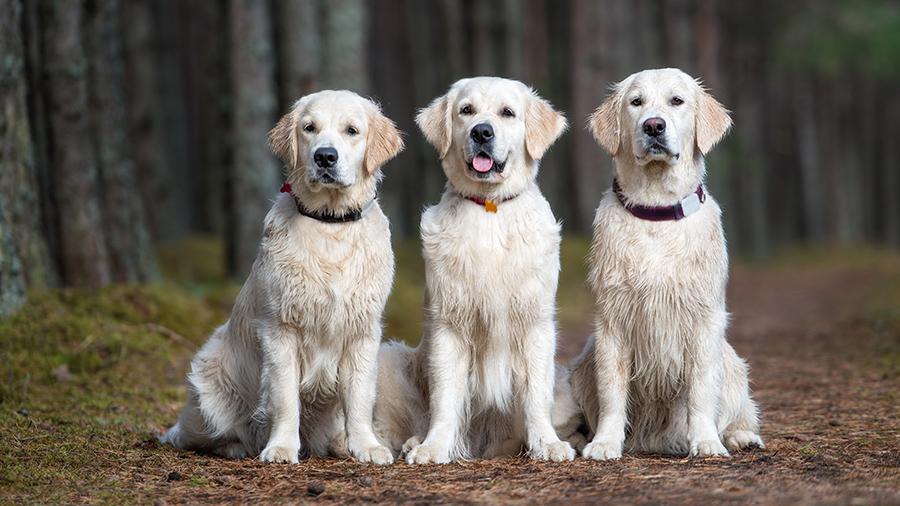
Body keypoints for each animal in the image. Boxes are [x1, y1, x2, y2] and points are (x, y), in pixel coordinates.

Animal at [572, 69, 764, 460]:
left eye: (677, 101)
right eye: (636, 102)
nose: (654, 126)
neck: (656, 211)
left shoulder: (705, 319)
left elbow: (702, 391)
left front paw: (705, 441)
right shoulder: (612, 321)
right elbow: (612, 391)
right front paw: (605, 443)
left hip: (734, 363)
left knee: (737, 411)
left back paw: (740, 437)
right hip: (584, 362)